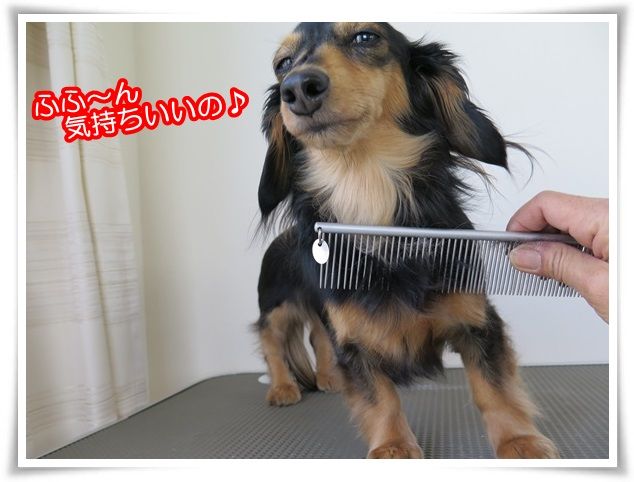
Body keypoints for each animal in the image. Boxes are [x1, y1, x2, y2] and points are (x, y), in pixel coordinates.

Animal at [254, 22, 559, 459]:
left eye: (365, 37)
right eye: (282, 64)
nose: (297, 88)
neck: (367, 192)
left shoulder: (477, 321)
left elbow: (494, 387)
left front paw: (519, 442)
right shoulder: (354, 342)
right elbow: (380, 398)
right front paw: (393, 447)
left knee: (317, 336)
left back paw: (328, 377)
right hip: (277, 304)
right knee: (273, 341)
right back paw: (282, 386)